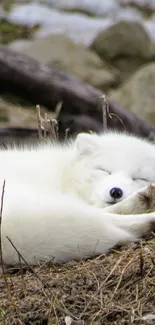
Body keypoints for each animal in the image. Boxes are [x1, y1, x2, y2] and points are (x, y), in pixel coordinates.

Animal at [0, 130, 155, 264]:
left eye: (139, 178)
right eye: (105, 171)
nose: (116, 191)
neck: (67, 173)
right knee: (101, 216)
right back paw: (146, 209)